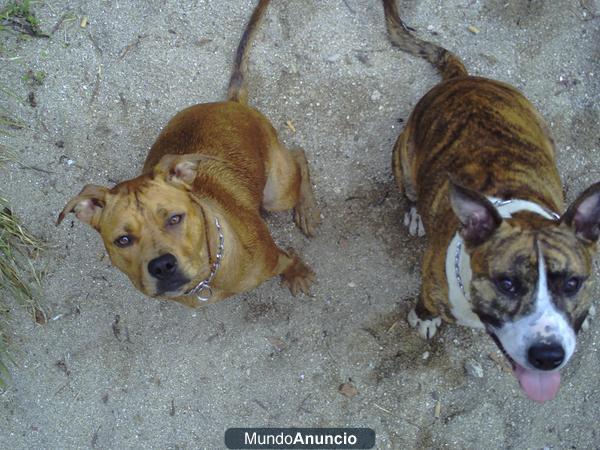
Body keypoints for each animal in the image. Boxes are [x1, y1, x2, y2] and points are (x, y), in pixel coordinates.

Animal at [57, 0, 318, 308]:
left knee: (299, 155)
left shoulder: (277, 258)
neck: (206, 279)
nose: (161, 266)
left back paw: (307, 210)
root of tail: (231, 103)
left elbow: (291, 261)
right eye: (123, 240)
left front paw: (298, 274)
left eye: (174, 219)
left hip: (277, 193)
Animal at [382, 0, 596, 400]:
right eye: (507, 283)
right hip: (403, 159)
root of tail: (461, 80)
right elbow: (425, 304)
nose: (548, 355)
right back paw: (415, 215)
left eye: (572, 283)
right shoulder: (431, 282)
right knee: (410, 193)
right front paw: (425, 319)